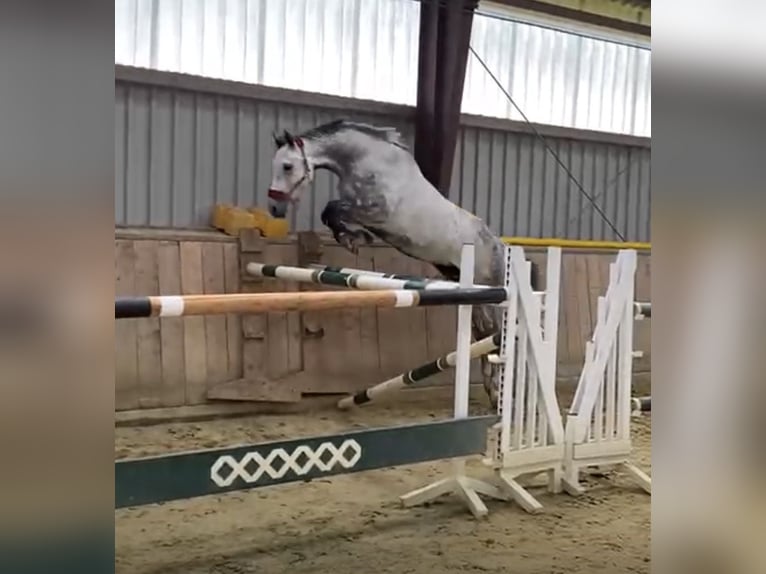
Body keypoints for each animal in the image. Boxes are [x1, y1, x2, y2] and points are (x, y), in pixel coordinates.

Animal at [266, 119, 522, 407]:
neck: (366, 160)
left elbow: (333, 208)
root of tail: (502, 247)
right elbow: (331, 212)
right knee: (484, 337)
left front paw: (352, 238)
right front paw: (350, 236)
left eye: (287, 166)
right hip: (470, 293)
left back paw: (498, 394)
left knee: (496, 335)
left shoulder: (378, 212)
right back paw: (493, 392)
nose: (274, 208)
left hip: (490, 294)